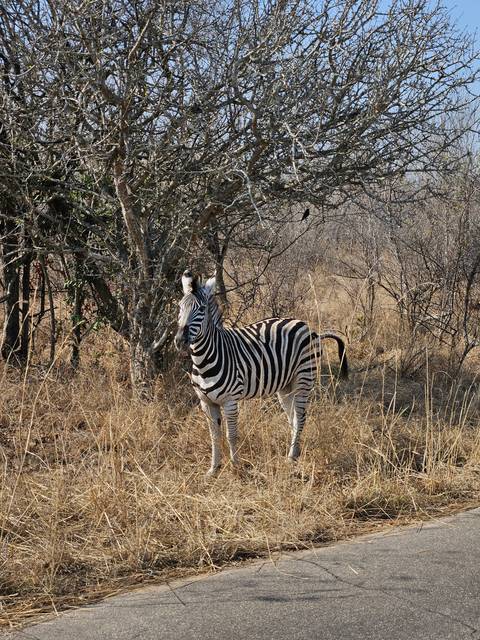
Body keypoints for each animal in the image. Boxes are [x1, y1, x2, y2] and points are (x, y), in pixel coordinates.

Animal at [174, 270, 348, 475]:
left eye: (201, 309)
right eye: (179, 307)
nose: (180, 341)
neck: (204, 360)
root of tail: (310, 330)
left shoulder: (230, 401)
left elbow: (231, 435)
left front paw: (236, 466)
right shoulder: (206, 402)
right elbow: (214, 436)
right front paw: (214, 469)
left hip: (304, 379)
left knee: (301, 417)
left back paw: (290, 457)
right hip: (285, 386)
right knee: (293, 418)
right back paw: (294, 453)